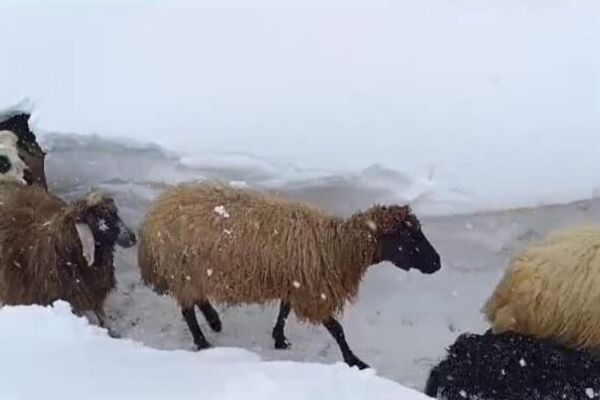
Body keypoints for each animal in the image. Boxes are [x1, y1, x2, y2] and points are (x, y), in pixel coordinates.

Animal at [139, 183, 440, 370]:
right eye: (408, 235)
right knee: (187, 310)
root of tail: (154, 214)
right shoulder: (313, 291)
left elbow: (284, 309)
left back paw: (214, 321)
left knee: (197, 300)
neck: (336, 247)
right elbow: (337, 329)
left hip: (193, 273)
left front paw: (279, 338)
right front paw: (354, 360)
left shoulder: (295, 281)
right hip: (185, 271)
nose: (437, 262)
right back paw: (203, 342)